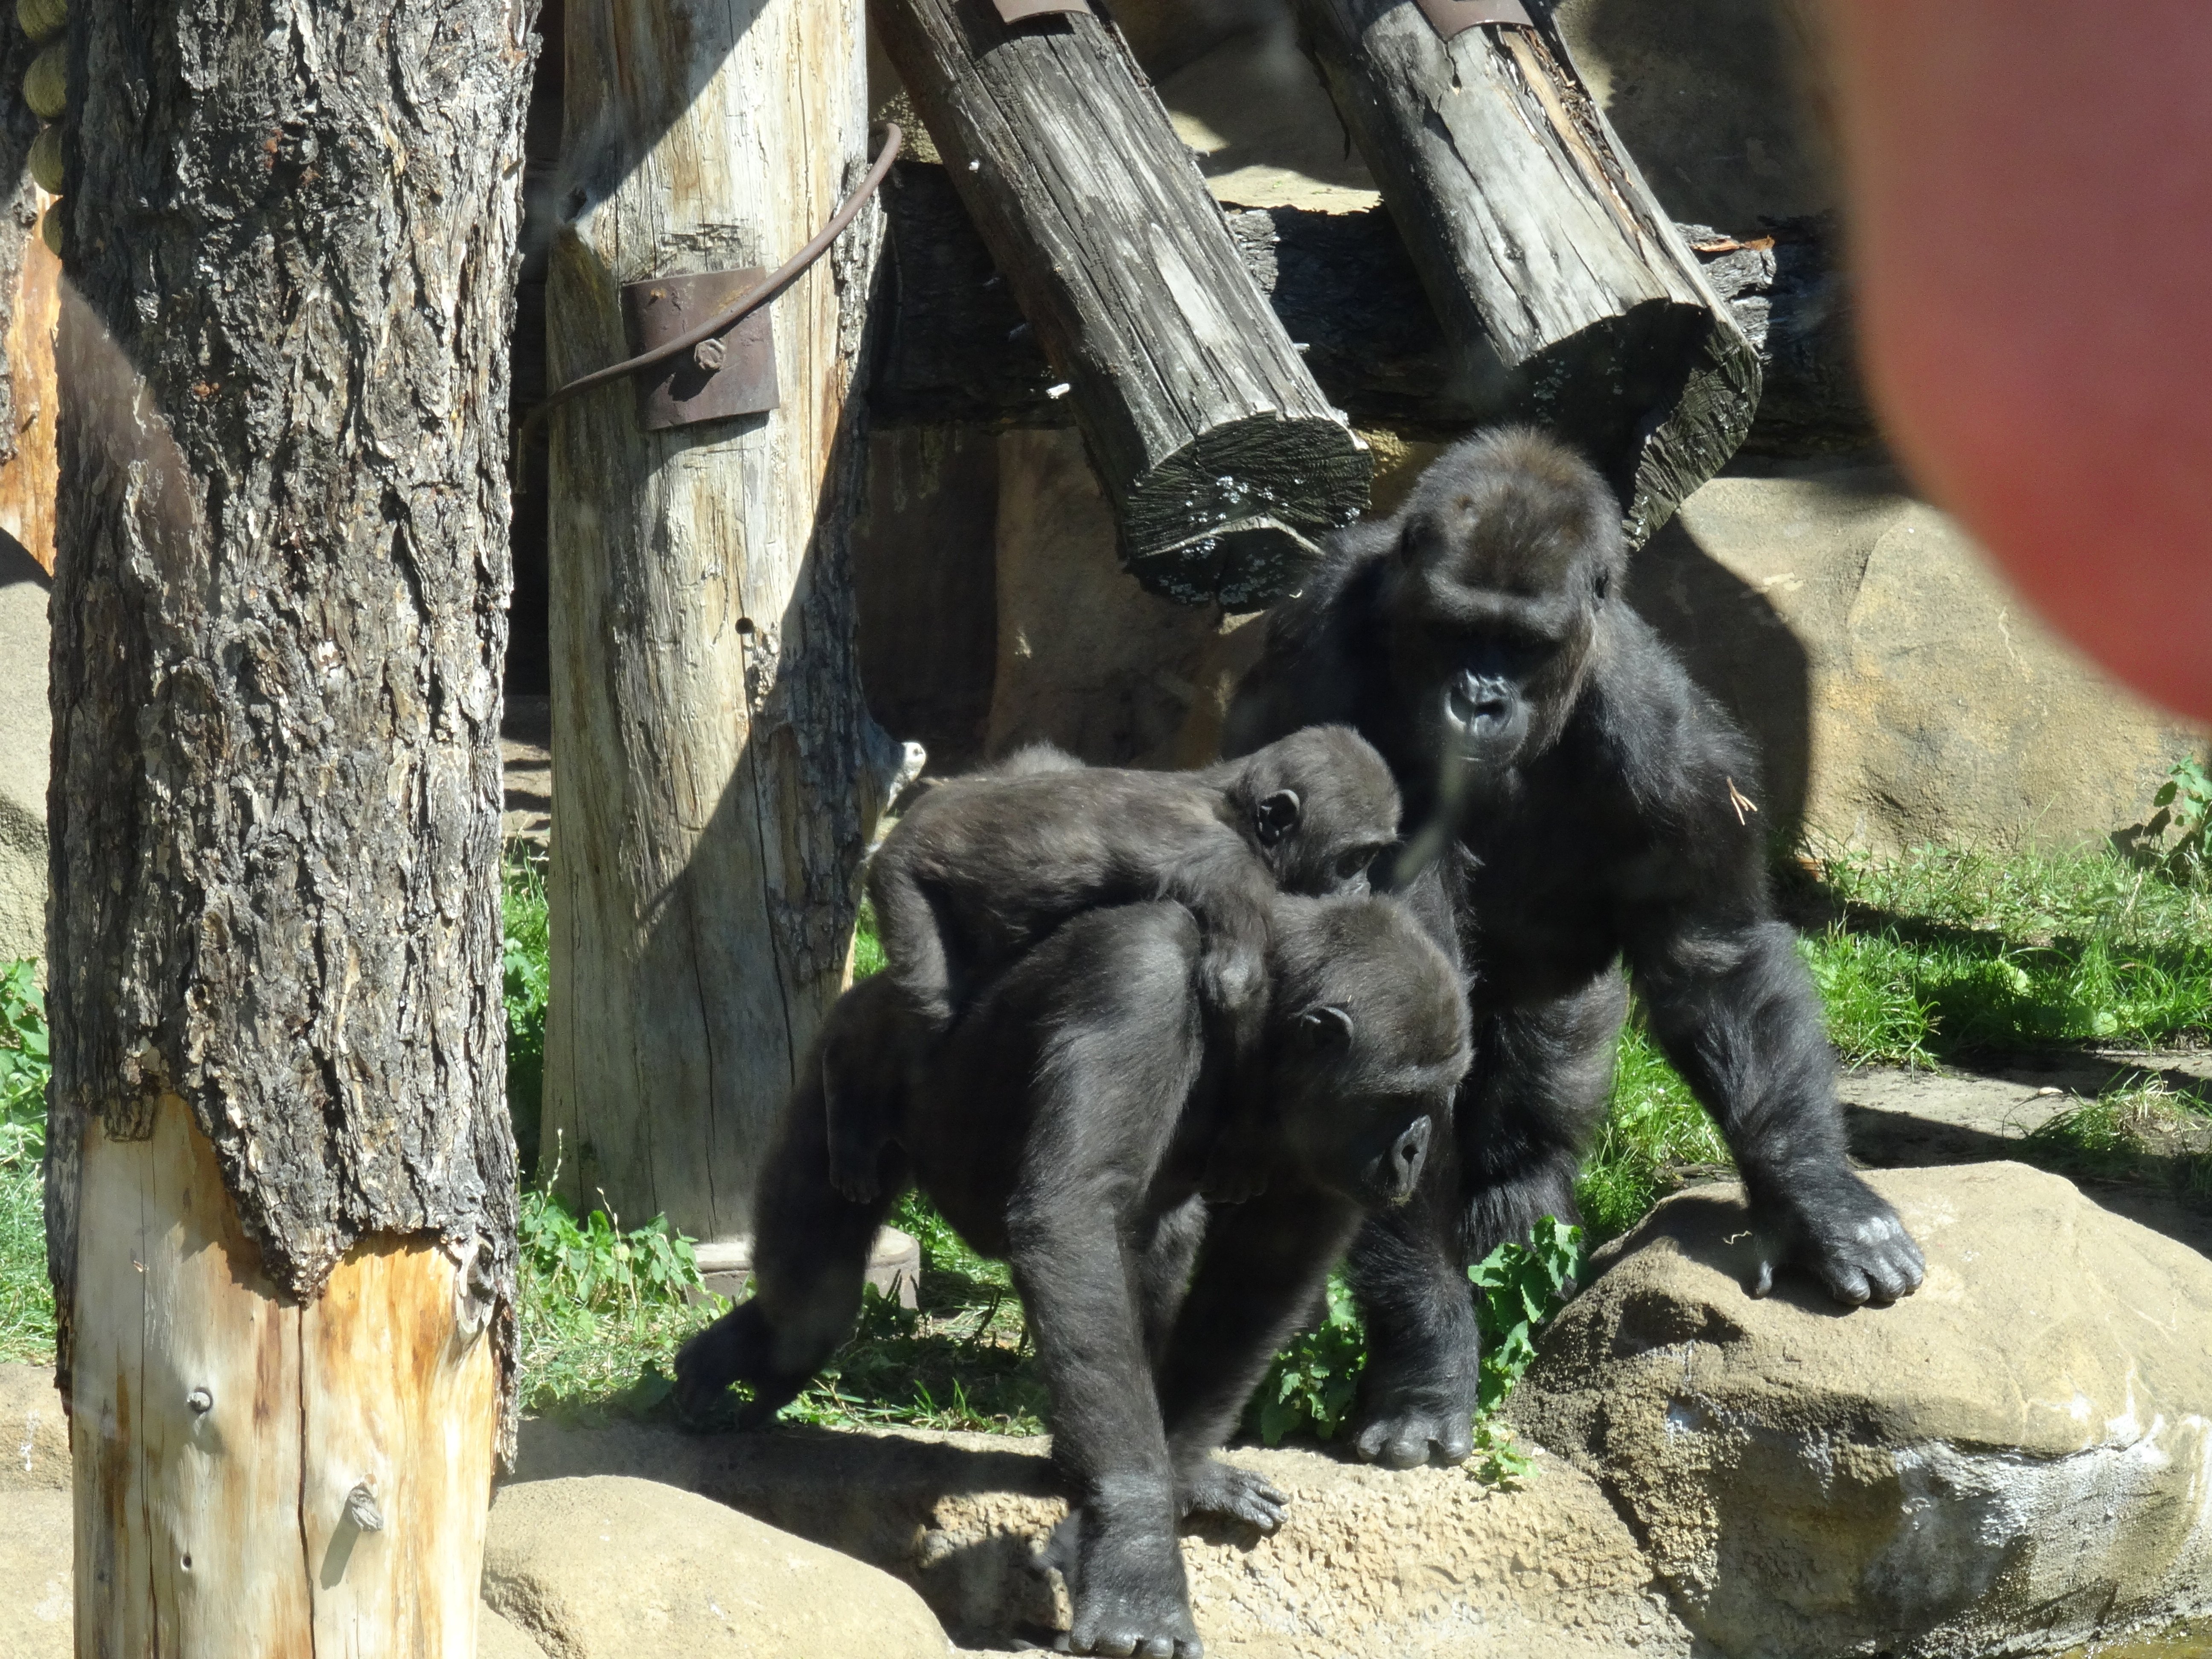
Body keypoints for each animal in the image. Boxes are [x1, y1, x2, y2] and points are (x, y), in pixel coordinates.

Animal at [672, 898, 1469, 1659]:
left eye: (1437, 1100)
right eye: (1400, 1099)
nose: (1414, 1150)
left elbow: (1264, 1270)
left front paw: (1174, 1482)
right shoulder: (1139, 982)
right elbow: (1074, 1215)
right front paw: (1138, 1553)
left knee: (1155, 1243)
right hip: (843, 1061)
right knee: (815, 1300)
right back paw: (748, 1352)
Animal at [832, 725, 1398, 1212]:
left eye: (1371, 860)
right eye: (1354, 860)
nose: (1365, 888)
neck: (1235, 809)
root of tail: (901, 826)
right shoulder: (1230, 865)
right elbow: (1235, 985)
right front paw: (1246, 1141)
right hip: (900, 874)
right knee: (927, 1003)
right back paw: (856, 1105)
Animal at [1221, 425, 1929, 1469]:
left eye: (1523, 646)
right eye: (1457, 630)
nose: (1478, 699)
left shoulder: (1667, 736)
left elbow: (1713, 959)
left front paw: (1816, 1198)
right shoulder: (1320, 675)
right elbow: (1368, 1058)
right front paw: (1428, 1356)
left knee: (1533, 1122)